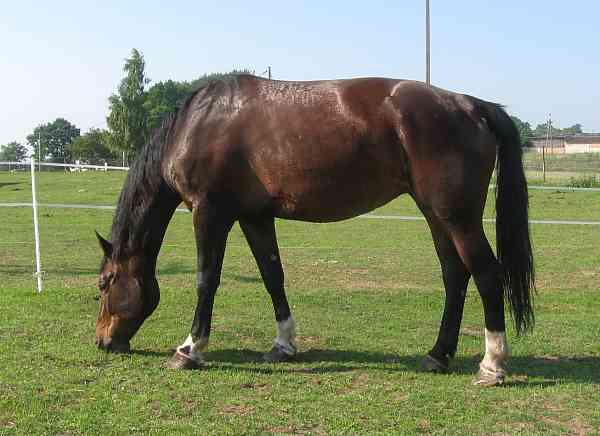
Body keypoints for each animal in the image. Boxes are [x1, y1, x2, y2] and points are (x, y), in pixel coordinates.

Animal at [94, 74, 536, 384]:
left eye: (104, 283)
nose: (103, 341)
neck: (200, 123)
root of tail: (473, 105)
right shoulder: (255, 217)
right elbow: (272, 275)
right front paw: (283, 345)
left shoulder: (209, 212)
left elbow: (207, 279)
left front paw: (189, 349)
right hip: (435, 214)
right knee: (454, 276)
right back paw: (438, 355)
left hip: (456, 217)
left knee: (486, 274)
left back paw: (492, 365)